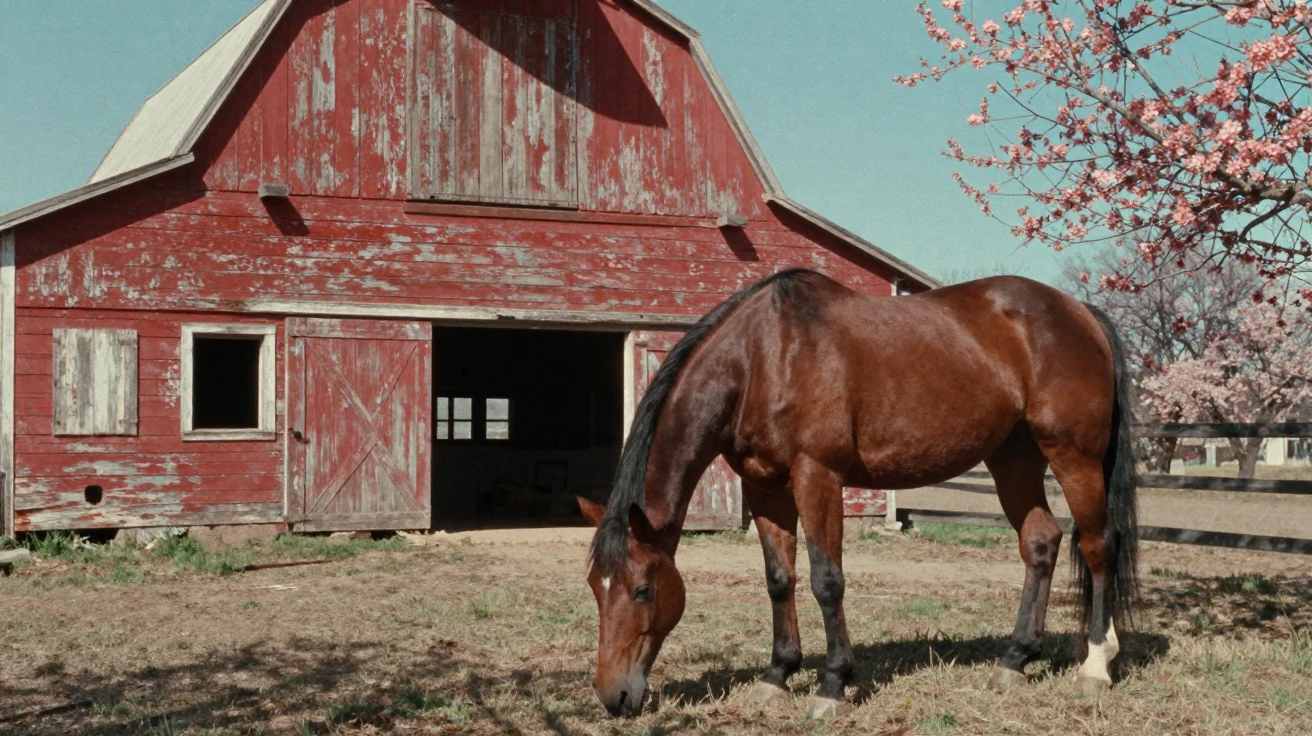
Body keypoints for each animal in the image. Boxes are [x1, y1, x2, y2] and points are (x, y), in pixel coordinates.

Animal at [576, 268, 1138, 718]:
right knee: (1041, 543)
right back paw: (1015, 660)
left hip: (1074, 456)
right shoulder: (765, 490)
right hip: (1014, 458)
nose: (613, 697)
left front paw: (833, 684)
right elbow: (779, 579)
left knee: (1098, 545)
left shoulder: (817, 477)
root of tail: (1080, 312)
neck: (761, 358)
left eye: (642, 590)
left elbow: (827, 581)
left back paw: (1095, 665)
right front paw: (778, 675)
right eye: (594, 589)